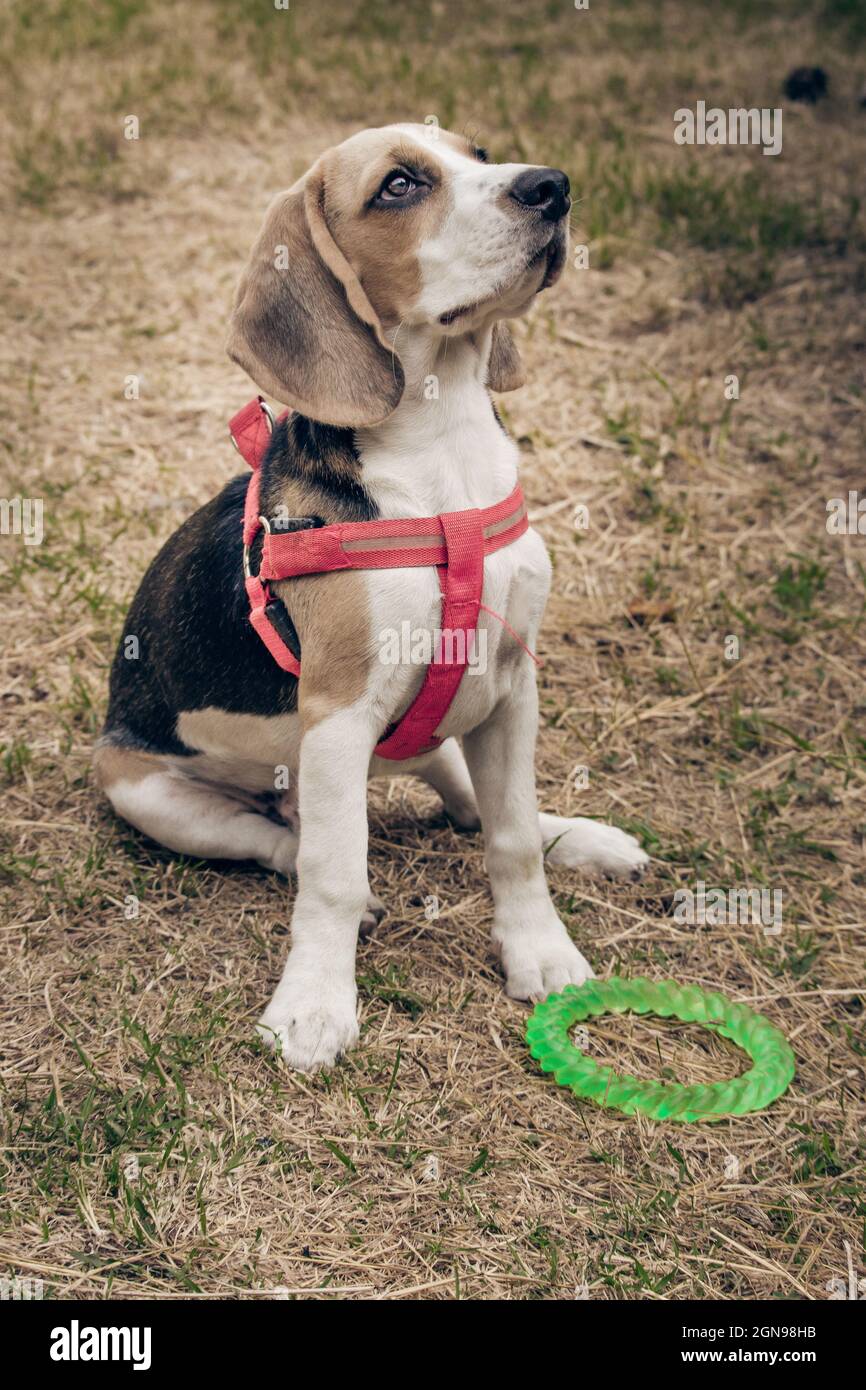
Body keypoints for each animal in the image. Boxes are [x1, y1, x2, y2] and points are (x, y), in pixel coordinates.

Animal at [96, 125, 650, 1067]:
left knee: (469, 800)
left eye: (480, 153)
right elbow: (333, 873)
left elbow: (509, 836)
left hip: (442, 723)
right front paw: (314, 1005)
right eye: (398, 186)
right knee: (284, 841)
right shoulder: (339, 713)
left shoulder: (514, 686)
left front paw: (541, 949)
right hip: (149, 793)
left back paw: (579, 835)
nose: (552, 187)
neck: (443, 449)